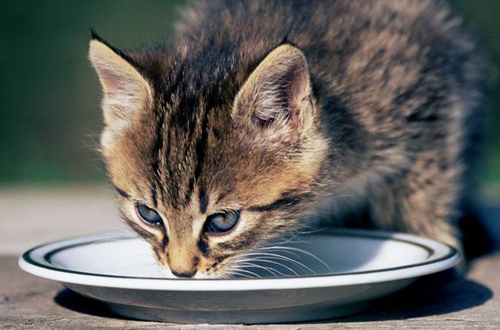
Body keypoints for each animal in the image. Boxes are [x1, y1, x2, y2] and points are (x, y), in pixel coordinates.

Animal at [89, 0, 488, 278]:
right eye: (149, 215)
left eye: (223, 221)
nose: (181, 272)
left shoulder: (430, 98)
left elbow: (424, 188)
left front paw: (436, 242)